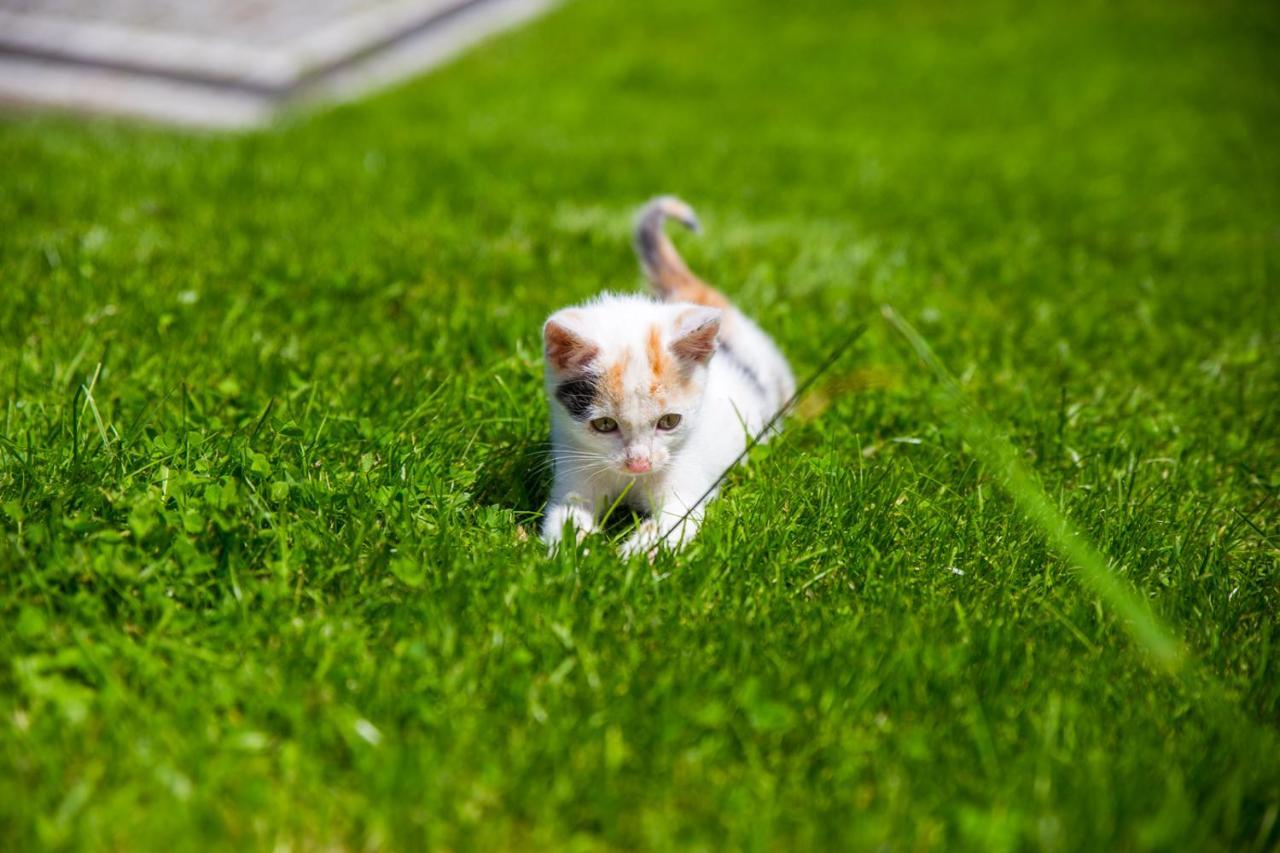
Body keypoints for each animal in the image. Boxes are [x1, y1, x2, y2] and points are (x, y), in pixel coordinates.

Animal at [537, 197, 788, 558]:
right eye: (604, 425)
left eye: (669, 422)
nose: (639, 464)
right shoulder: (573, 470)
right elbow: (567, 515)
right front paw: (578, 552)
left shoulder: (686, 494)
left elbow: (671, 525)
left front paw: (632, 557)